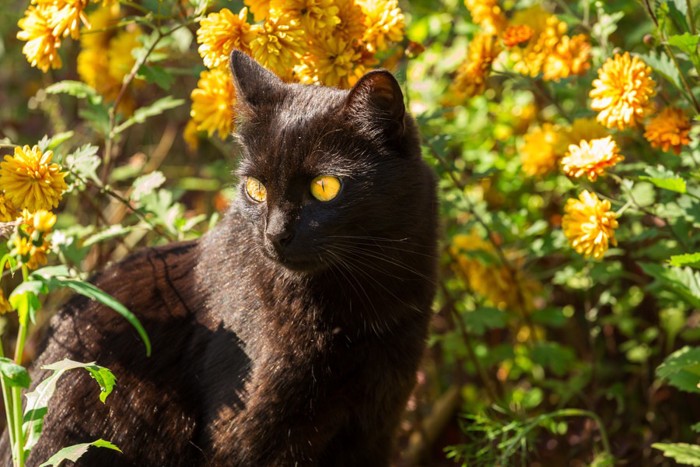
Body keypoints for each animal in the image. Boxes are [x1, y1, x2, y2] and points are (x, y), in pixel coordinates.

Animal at [6, 51, 438, 467]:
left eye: (325, 187)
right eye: (256, 189)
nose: (275, 234)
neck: (354, 306)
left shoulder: (377, 422)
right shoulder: (245, 433)